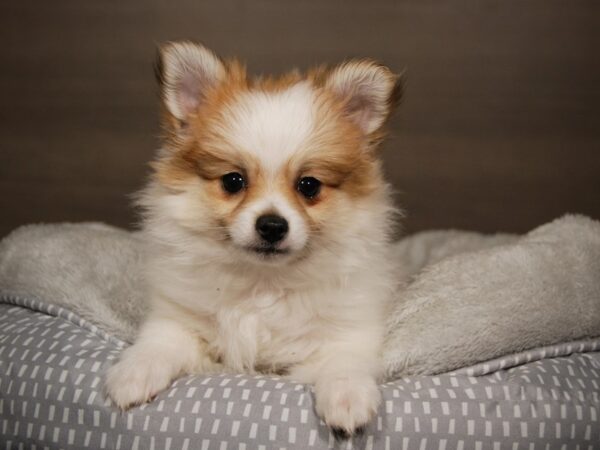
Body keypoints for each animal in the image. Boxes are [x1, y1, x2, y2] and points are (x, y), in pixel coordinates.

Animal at [105, 42, 400, 436]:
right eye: (233, 181)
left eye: (309, 185)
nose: (272, 225)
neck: (263, 284)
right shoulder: (178, 317)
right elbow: (158, 342)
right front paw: (133, 374)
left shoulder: (349, 331)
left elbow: (343, 362)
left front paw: (347, 399)